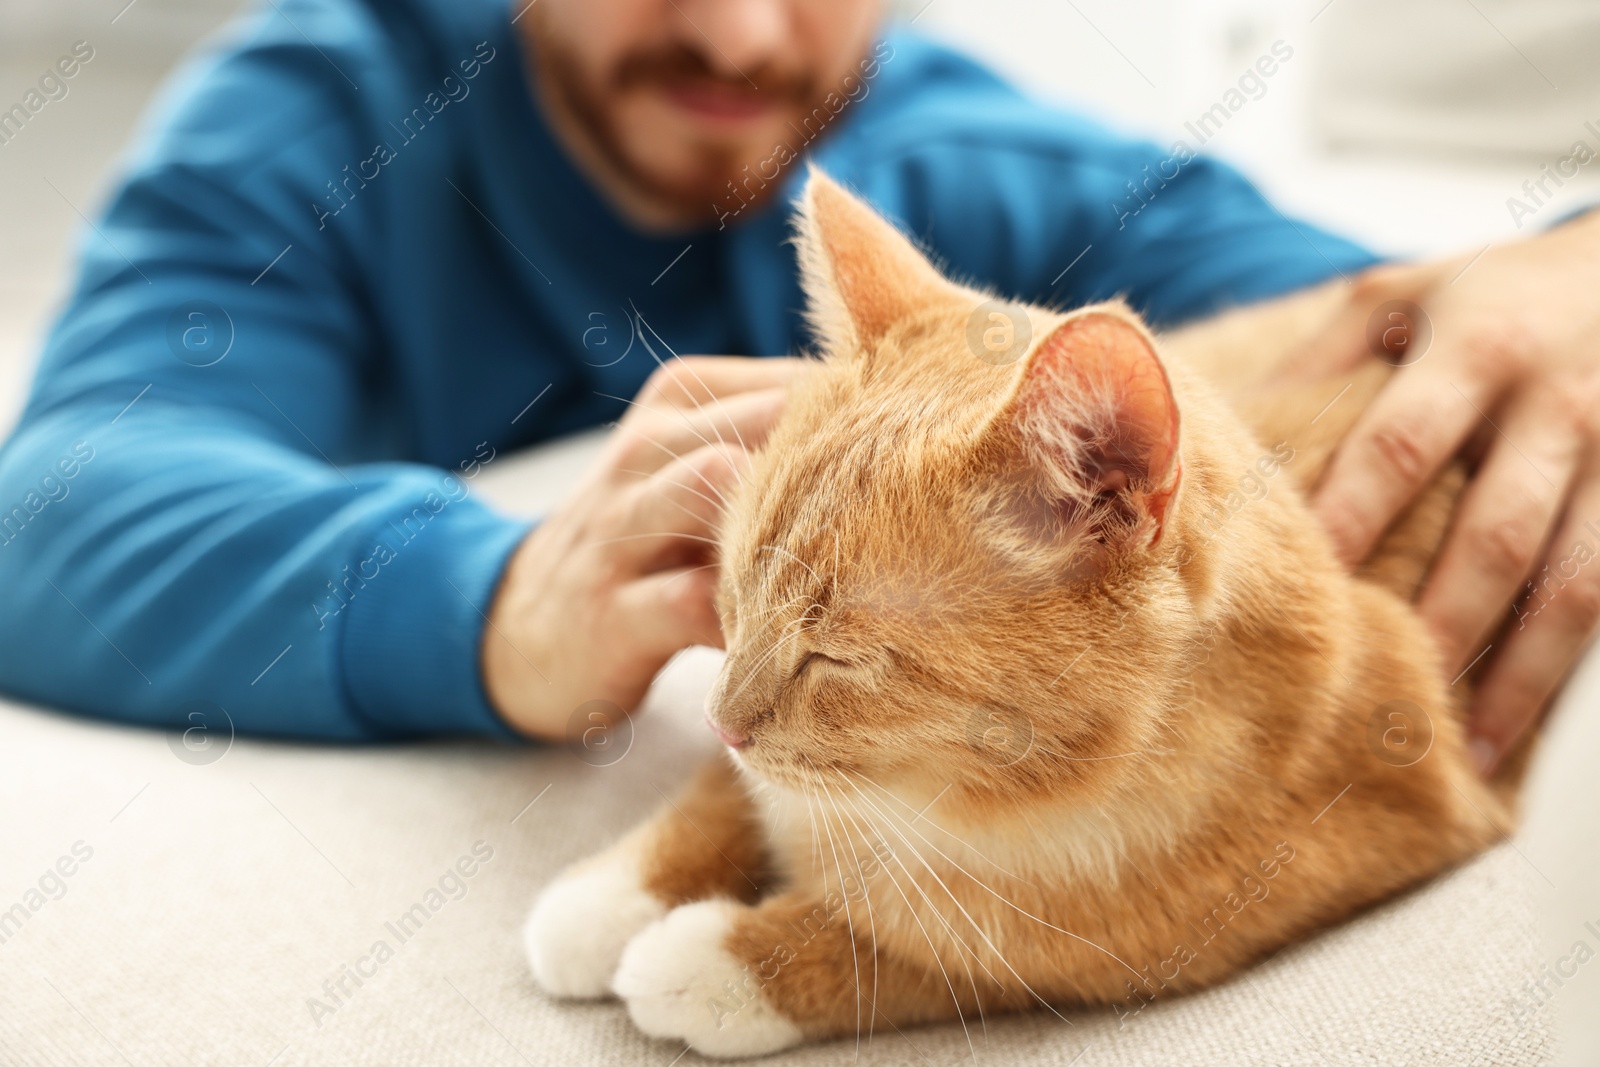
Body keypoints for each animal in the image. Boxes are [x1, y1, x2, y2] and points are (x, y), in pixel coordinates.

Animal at [524, 171, 1510, 1055]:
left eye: (836, 657)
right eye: (729, 599)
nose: (722, 722)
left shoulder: (1303, 865)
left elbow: (954, 954)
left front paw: (723, 959)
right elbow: (724, 798)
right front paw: (608, 899)